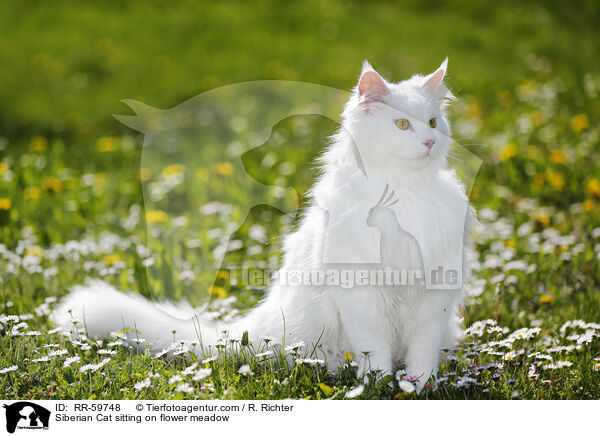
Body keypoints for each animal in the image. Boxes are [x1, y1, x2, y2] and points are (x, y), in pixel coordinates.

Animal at [52, 58, 474, 392]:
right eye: (402, 125)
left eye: (433, 122)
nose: (429, 141)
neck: (404, 194)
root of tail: (258, 325)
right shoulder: (361, 296)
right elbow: (376, 353)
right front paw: (380, 387)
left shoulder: (433, 298)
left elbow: (421, 351)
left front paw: (419, 386)